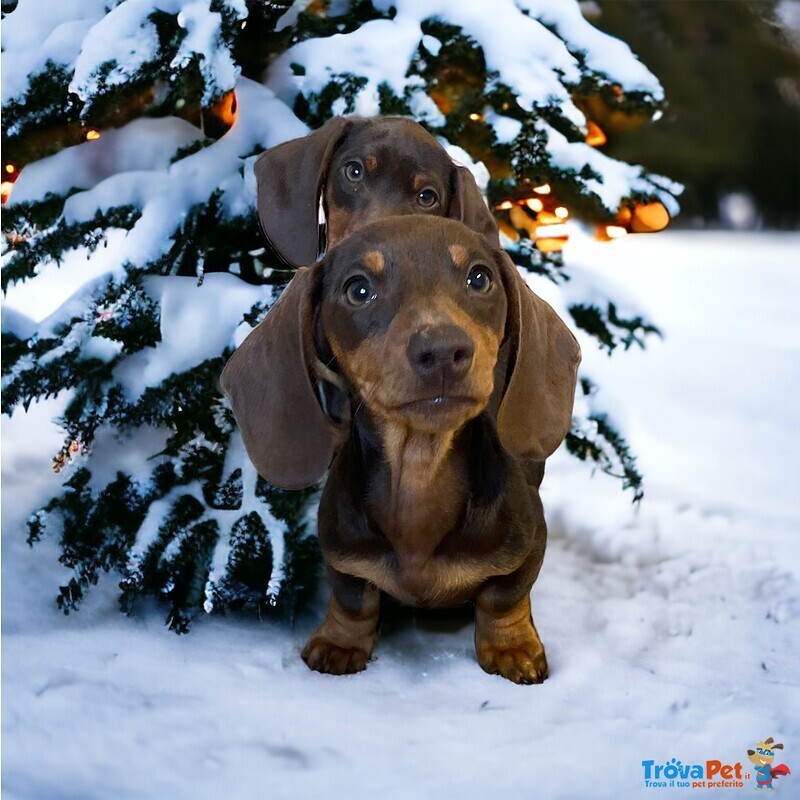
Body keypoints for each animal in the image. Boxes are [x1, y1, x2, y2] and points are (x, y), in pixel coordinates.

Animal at [220, 216, 580, 684]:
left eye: (479, 278)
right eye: (358, 290)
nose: (443, 351)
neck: (418, 471)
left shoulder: (530, 544)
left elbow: (503, 597)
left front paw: (511, 646)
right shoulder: (341, 551)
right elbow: (353, 597)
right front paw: (340, 642)